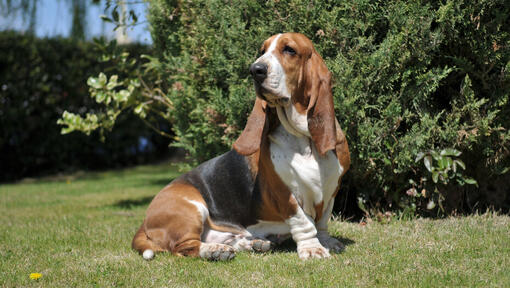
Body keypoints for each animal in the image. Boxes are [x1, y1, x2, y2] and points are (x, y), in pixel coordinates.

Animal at [131, 32, 348, 260]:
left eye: (289, 50)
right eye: (262, 51)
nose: (255, 70)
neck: (303, 139)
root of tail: (144, 222)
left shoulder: (331, 191)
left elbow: (322, 222)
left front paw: (327, 242)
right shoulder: (285, 196)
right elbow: (304, 223)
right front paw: (312, 248)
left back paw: (254, 244)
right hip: (192, 207)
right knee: (185, 247)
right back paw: (216, 251)